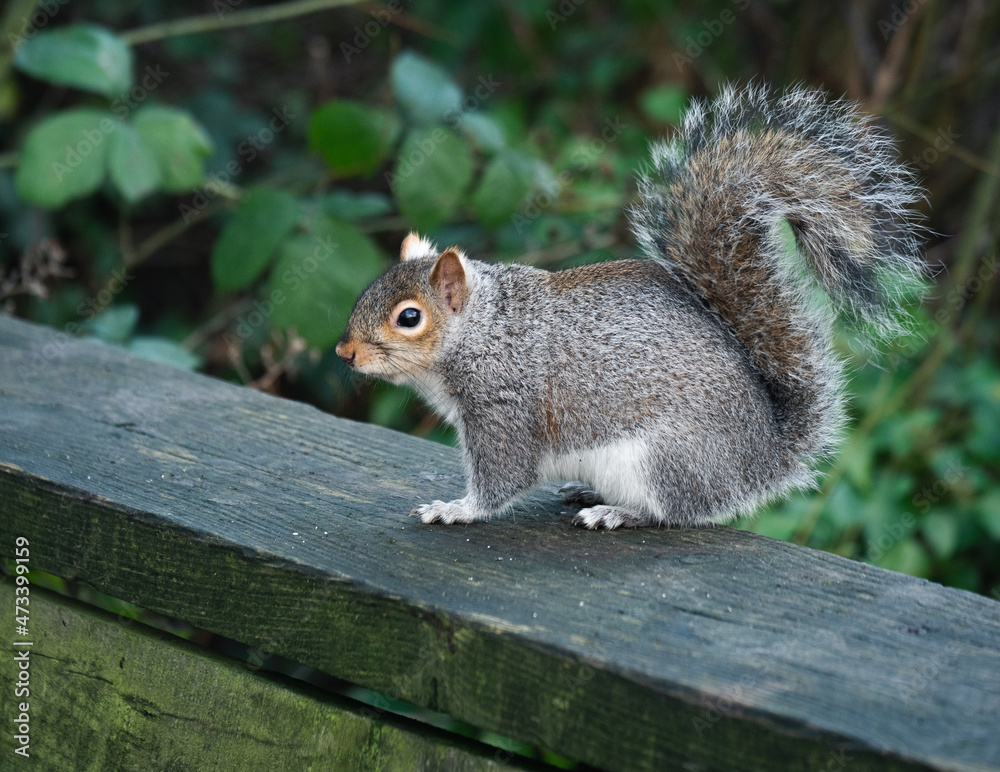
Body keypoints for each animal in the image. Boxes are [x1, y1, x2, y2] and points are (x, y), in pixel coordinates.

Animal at [335, 84, 924, 530]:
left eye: (409, 317)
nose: (345, 353)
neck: (484, 331)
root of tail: (759, 461)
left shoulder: (507, 410)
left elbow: (504, 478)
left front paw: (455, 509)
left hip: (661, 459)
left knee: (676, 513)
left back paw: (616, 513)